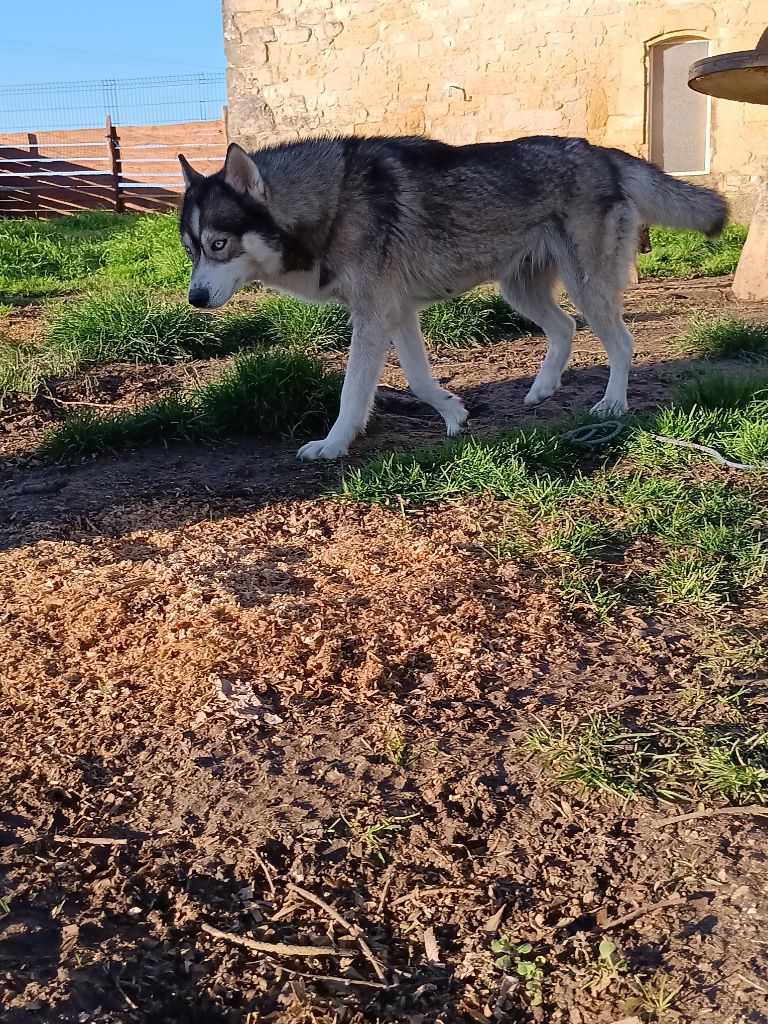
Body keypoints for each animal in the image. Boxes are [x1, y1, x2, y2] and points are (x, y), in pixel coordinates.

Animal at [179, 137, 729, 460]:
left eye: (218, 245)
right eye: (191, 250)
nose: (195, 298)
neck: (330, 204)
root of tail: (600, 151)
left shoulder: (375, 318)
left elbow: (352, 394)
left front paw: (332, 445)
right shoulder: (397, 314)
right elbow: (420, 381)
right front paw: (453, 415)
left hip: (586, 288)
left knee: (621, 343)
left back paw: (612, 405)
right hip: (521, 291)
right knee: (565, 328)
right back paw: (542, 390)